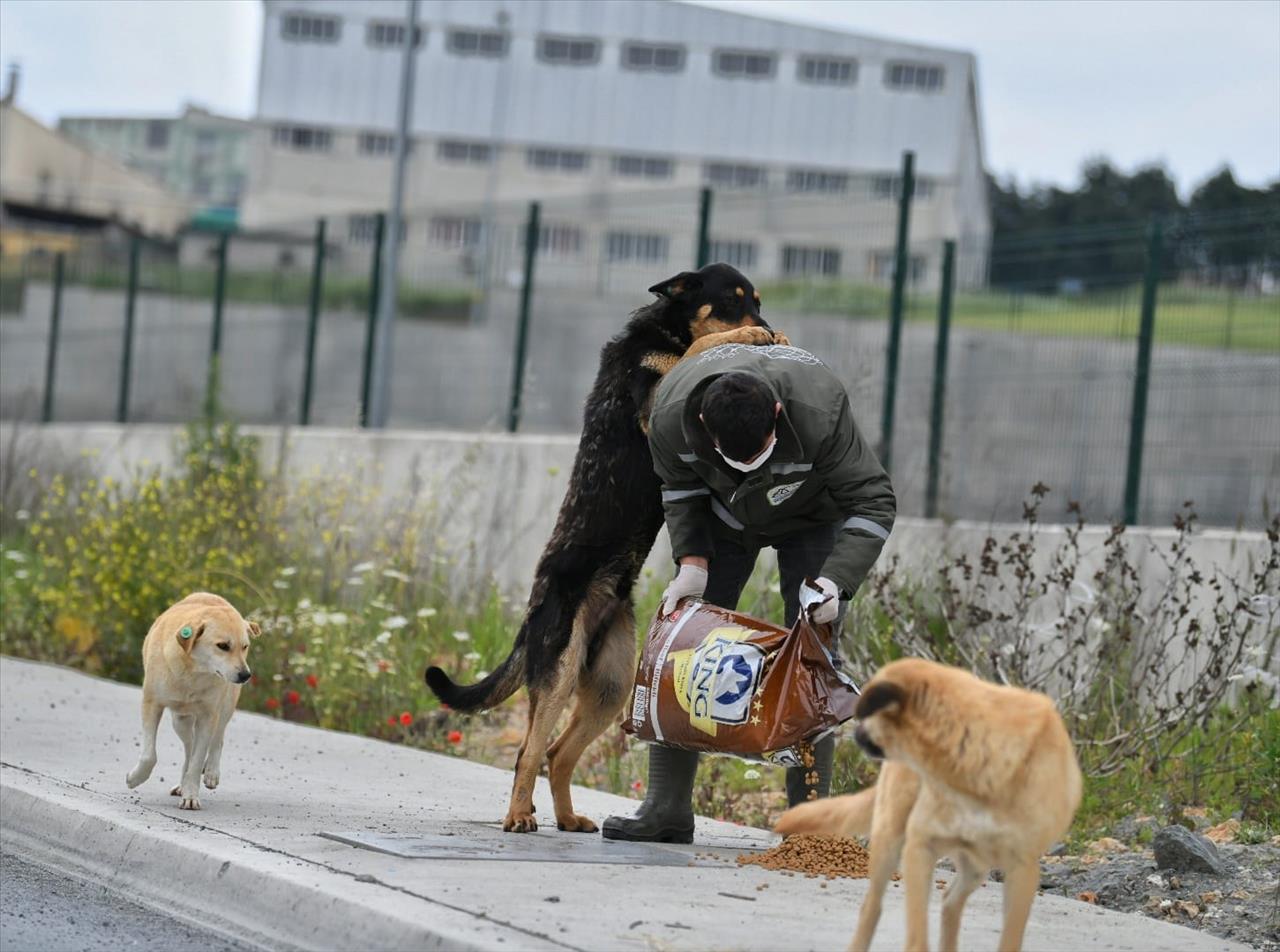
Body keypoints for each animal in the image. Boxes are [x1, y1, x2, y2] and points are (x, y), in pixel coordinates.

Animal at [430, 262, 783, 834]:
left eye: (756, 299)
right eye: (733, 301)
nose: (768, 325)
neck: (666, 330)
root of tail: (532, 615)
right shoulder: (659, 398)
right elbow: (702, 349)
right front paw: (746, 338)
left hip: (611, 687)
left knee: (556, 754)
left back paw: (565, 818)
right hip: (560, 668)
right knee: (528, 752)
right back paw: (518, 816)